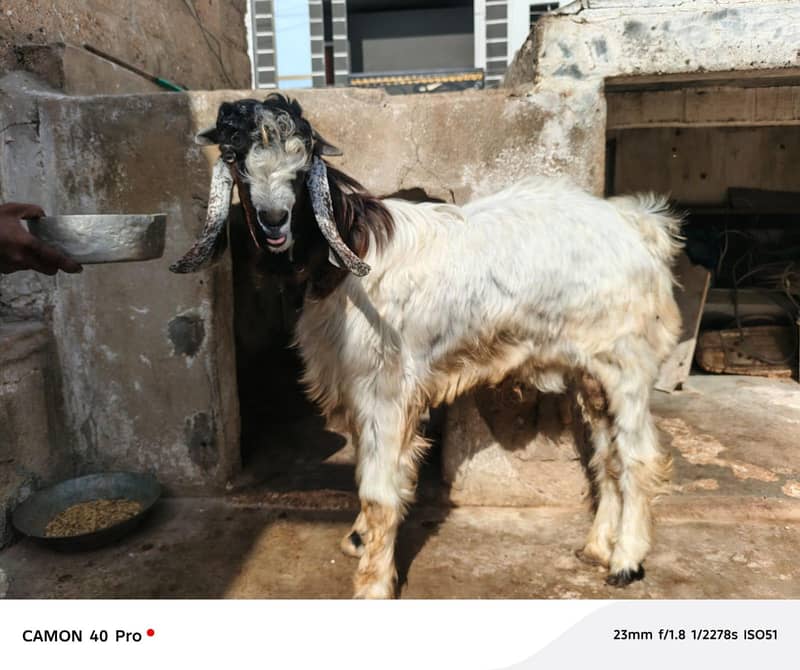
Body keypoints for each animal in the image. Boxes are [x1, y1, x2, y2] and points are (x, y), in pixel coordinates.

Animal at [171, 94, 682, 598]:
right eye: (234, 158)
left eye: (303, 165)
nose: (274, 222)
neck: (347, 257)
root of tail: (640, 226)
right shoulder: (357, 385)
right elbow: (369, 469)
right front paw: (360, 541)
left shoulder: (387, 389)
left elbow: (378, 491)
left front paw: (374, 584)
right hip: (590, 373)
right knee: (607, 455)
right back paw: (597, 547)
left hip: (627, 364)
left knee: (637, 456)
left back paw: (626, 559)